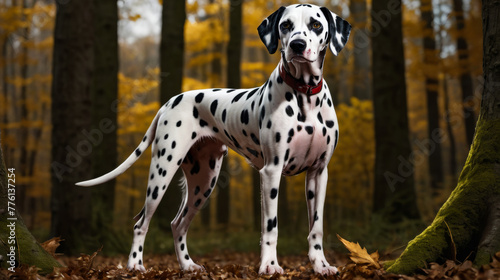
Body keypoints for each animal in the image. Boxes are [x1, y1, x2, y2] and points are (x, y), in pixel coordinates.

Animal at [78, 3, 352, 276]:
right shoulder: (271, 172)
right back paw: (135, 264)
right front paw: (270, 265)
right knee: (141, 223)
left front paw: (321, 265)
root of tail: (169, 102)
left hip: (203, 181)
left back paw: (187, 265)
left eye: (316, 24)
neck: (305, 96)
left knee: (178, 224)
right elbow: (270, 227)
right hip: (162, 172)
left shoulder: (318, 173)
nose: (297, 45)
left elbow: (316, 228)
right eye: (286, 25)